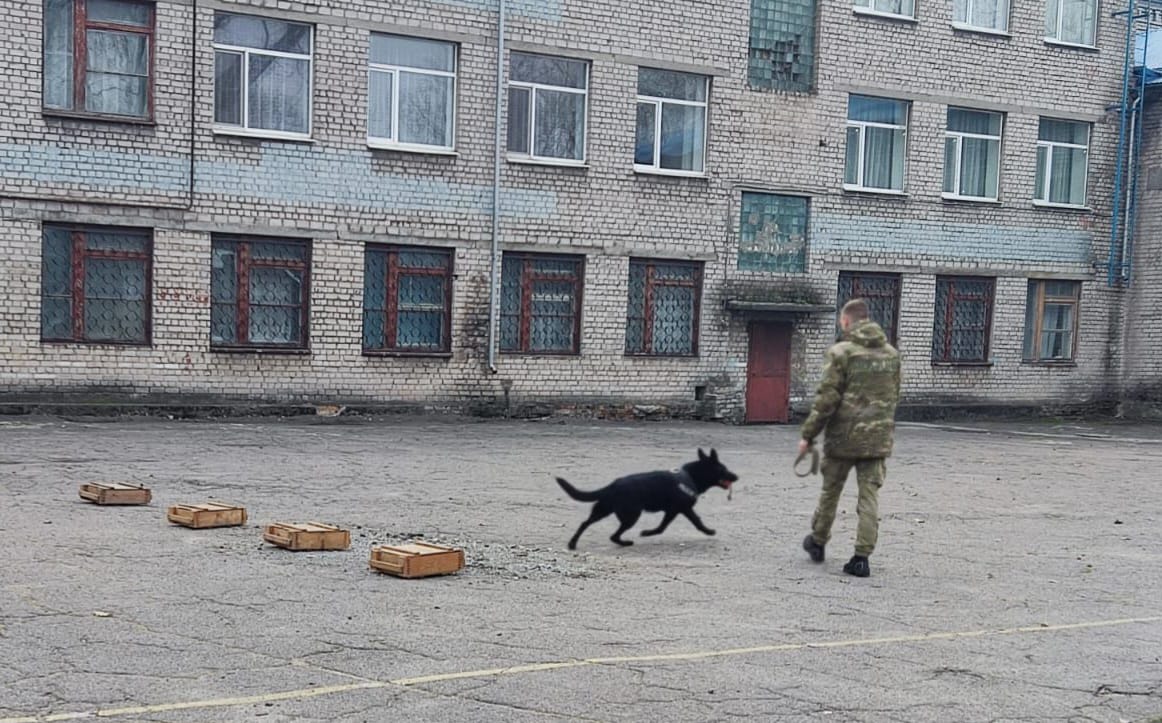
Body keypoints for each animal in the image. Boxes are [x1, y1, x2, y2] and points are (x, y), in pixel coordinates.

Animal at [553, 448, 734, 548]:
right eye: (723, 469)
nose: (737, 476)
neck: (690, 476)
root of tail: (612, 486)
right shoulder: (681, 509)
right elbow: (693, 522)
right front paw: (709, 531)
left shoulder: (675, 511)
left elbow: (666, 526)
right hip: (631, 516)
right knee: (613, 535)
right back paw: (625, 543)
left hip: (603, 510)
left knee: (585, 523)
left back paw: (573, 544)